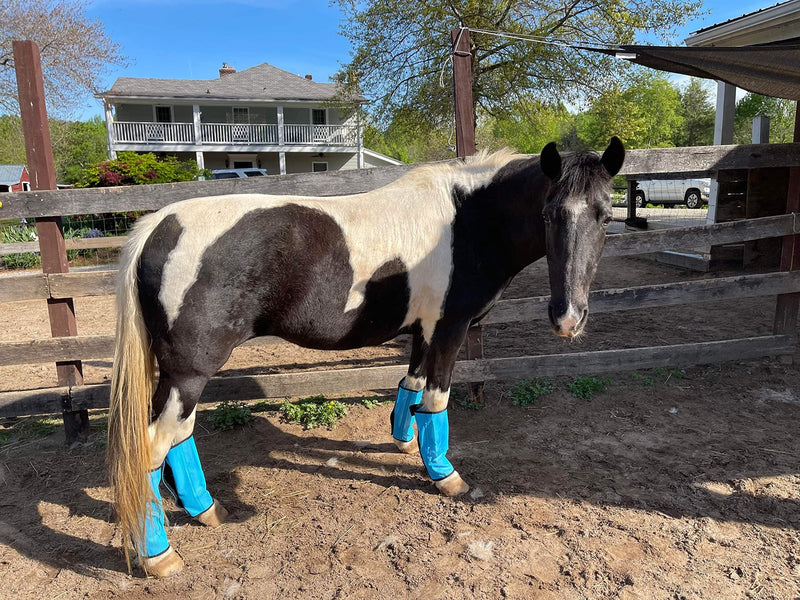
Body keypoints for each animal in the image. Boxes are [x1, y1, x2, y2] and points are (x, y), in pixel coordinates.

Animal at [107, 137, 625, 577]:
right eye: (549, 215)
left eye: (605, 217)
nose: (567, 319)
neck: (467, 220)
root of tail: (158, 225)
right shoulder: (450, 330)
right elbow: (437, 399)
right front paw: (446, 478)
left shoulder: (424, 332)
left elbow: (411, 390)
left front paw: (407, 444)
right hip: (190, 371)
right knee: (152, 447)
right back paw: (158, 556)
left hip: (176, 374)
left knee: (178, 437)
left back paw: (207, 511)